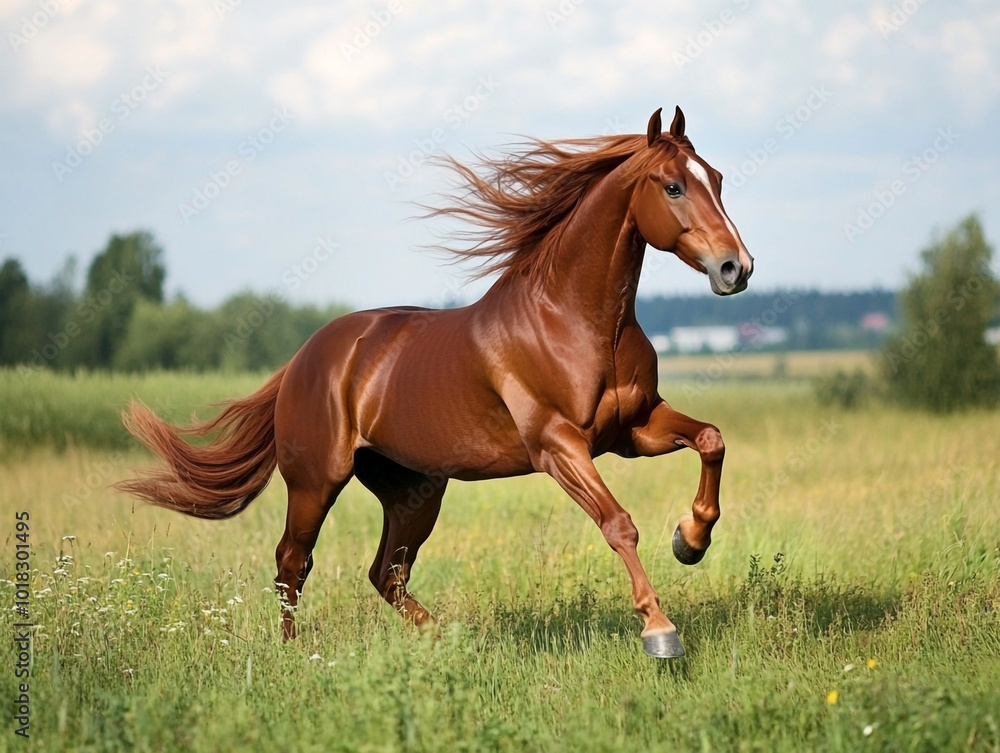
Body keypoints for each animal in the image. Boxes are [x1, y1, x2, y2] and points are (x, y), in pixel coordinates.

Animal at [116, 107, 753, 658]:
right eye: (672, 187)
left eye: (718, 180)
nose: (736, 268)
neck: (576, 320)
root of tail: (303, 360)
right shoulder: (558, 445)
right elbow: (619, 524)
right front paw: (660, 631)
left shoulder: (632, 430)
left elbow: (712, 439)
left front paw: (691, 540)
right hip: (316, 481)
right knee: (292, 562)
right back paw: (294, 653)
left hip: (413, 489)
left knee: (385, 572)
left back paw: (448, 639)